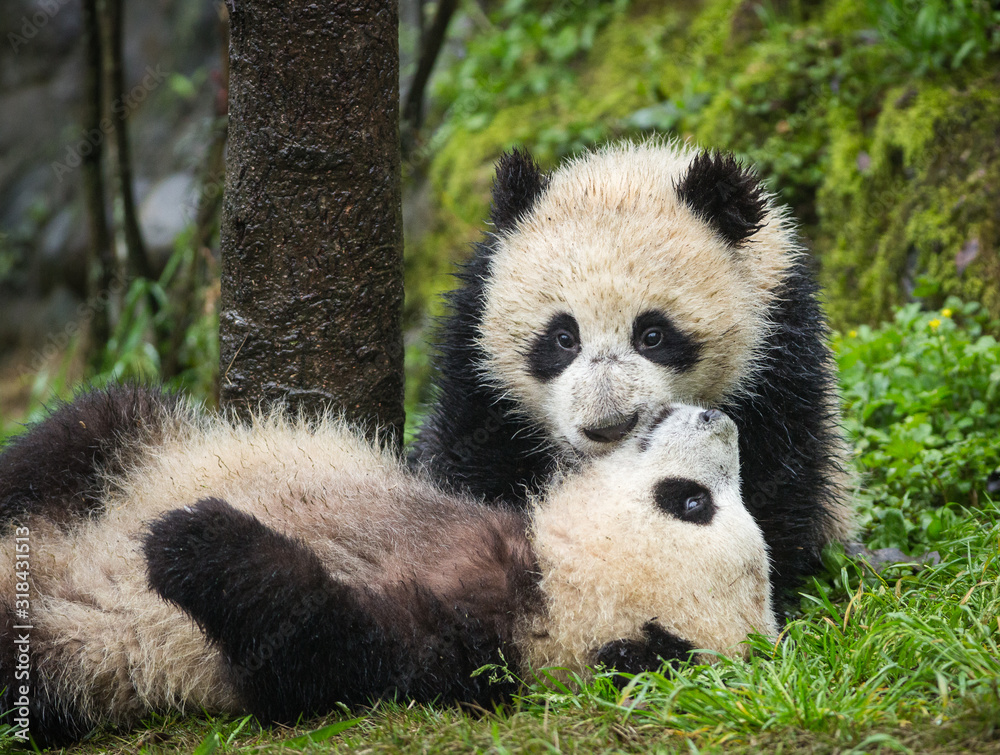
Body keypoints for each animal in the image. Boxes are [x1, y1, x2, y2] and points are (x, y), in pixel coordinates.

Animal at [0, 385, 774, 747]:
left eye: (692, 501)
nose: (720, 419)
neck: (539, 583)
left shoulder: (445, 650)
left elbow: (309, 653)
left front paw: (194, 538)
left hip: (64, 654)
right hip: (123, 455)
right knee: (96, 426)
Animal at [410, 139, 854, 602]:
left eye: (653, 335)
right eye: (563, 337)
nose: (610, 427)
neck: (626, 175)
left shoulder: (780, 345)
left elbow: (777, 473)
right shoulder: (476, 363)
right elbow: (469, 459)